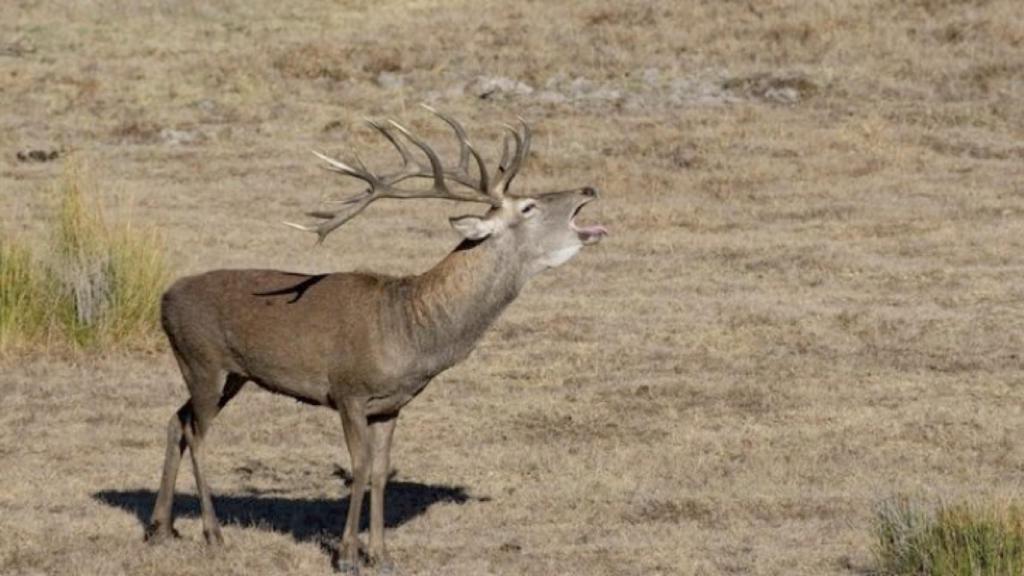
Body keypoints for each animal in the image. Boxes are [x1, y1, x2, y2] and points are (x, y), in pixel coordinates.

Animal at [144, 105, 607, 572]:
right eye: (529, 206)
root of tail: (164, 297)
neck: (409, 329)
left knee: (176, 420)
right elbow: (361, 466)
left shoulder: (392, 404)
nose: (588, 188)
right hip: (203, 361)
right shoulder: (348, 390)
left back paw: (161, 527)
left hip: (231, 375)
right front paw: (347, 554)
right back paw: (213, 534)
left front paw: (381, 554)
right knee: (197, 433)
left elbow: (382, 471)